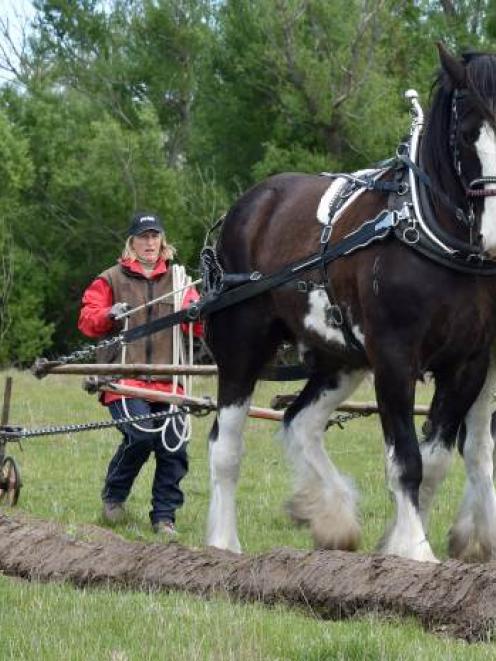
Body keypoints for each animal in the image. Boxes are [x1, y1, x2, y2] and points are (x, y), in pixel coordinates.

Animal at [203, 45, 496, 564]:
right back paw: (223, 545)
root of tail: (250, 204)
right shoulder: (395, 359)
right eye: (466, 135)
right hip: (241, 347)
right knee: (226, 446)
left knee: (299, 422)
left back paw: (332, 515)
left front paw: (399, 545)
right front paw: (415, 551)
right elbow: (406, 459)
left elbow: (438, 459)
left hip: (341, 357)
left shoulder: (470, 362)